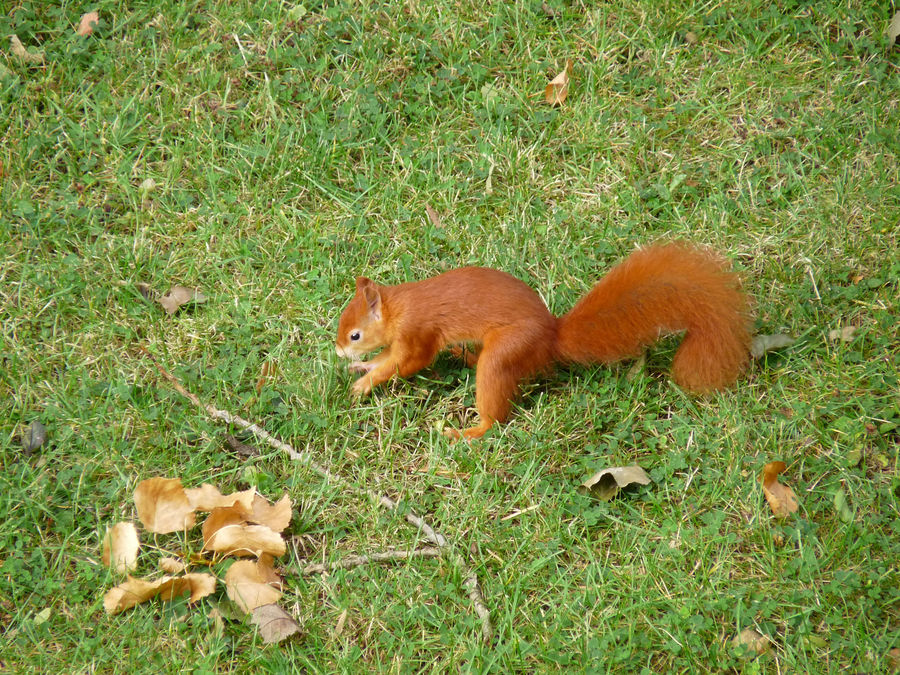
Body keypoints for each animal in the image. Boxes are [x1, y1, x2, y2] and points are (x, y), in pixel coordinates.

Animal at [336, 242, 752, 438]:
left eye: (355, 333)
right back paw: (462, 356)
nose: (339, 350)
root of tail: (552, 335)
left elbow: (410, 362)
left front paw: (363, 383)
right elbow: (389, 357)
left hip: (507, 350)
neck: (398, 306)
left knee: (495, 410)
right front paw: (364, 366)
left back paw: (467, 431)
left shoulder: (417, 331)